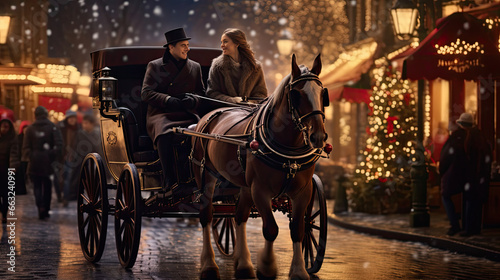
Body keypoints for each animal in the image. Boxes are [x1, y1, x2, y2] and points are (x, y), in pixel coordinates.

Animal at [192, 53, 328, 278]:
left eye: (322, 93)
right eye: (296, 95)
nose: (318, 136)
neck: (288, 151)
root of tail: (211, 114)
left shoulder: (303, 192)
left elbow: (298, 229)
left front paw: (299, 271)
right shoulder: (260, 190)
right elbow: (271, 229)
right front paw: (267, 266)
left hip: (244, 186)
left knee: (239, 216)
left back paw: (244, 265)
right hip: (205, 174)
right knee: (207, 215)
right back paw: (209, 265)